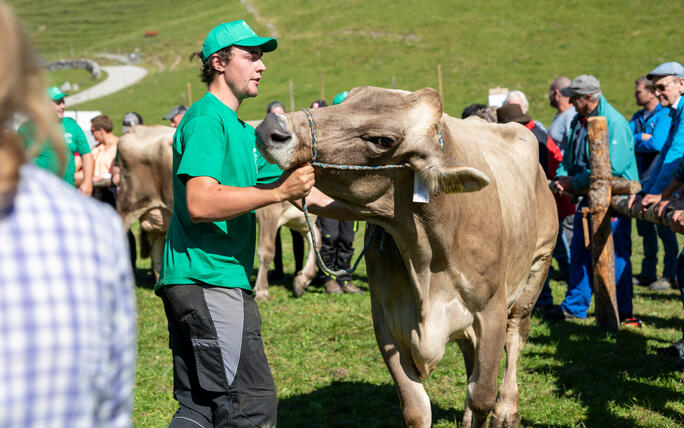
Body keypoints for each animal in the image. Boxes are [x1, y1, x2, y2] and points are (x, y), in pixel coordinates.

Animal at [117, 125, 320, 296]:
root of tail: (135, 130)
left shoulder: (301, 219)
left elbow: (316, 241)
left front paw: (302, 280)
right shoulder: (268, 213)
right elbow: (267, 250)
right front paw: (262, 290)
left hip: (159, 215)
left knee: (156, 249)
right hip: (127, 206)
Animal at [254, 87, 560, 428]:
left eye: (382, 140)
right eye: (347, 100)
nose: (272, 127)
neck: (427, 258)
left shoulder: (490, 311)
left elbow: (482, 396)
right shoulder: (387, 321)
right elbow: (416, 408)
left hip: (536, 269)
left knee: (516, 336)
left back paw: (507, 409)